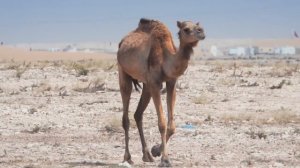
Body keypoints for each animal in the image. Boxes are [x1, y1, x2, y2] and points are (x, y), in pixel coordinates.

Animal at [116, 18, 205, 167]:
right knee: (126, 117)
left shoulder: (171, 82)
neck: (166, 58)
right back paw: (127, 157)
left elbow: (172, 126)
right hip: (123, 72)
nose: (201, 32)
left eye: (198, 26)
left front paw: (156, 150)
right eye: (186, 29)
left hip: (146, 85)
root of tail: (122, 43)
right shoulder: (155, 84)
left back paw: (146, 155)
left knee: (138, 114)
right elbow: (162, 124)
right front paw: (165, 160)